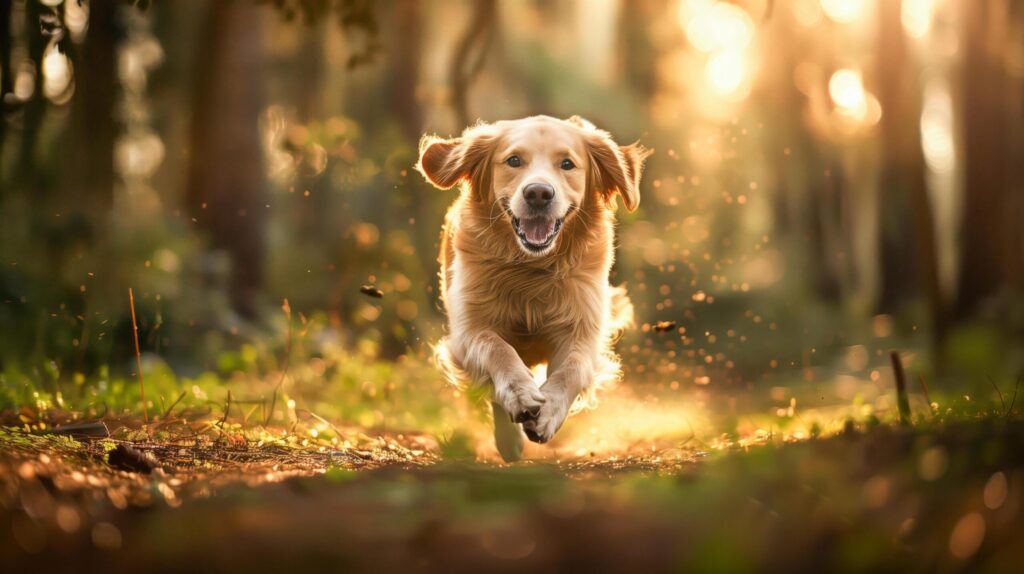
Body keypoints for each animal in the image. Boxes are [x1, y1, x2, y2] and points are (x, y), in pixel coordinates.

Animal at [415, 116, 647, 460]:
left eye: (567, 164)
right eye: (514, 160)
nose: (538, 193)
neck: (531, 271)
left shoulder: (581, 328)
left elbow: (572, 368)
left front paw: (548, 411)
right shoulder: (469, 330)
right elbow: (497, 348)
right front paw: (521, 396)